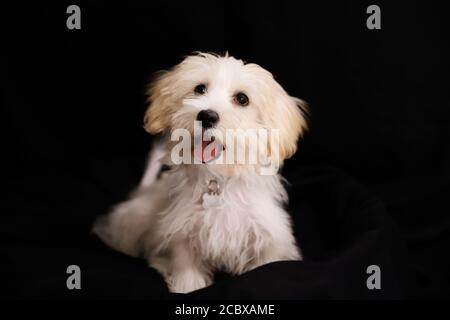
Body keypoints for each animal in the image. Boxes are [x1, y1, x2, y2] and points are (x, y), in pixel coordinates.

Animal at [93, 52, 308, 292]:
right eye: (199, 89)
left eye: (242, 99)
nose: (206, 115)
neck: (217, 179)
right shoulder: (181, 233)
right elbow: (186, 268)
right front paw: (187, 286)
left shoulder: (268, 237)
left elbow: (268, 262)